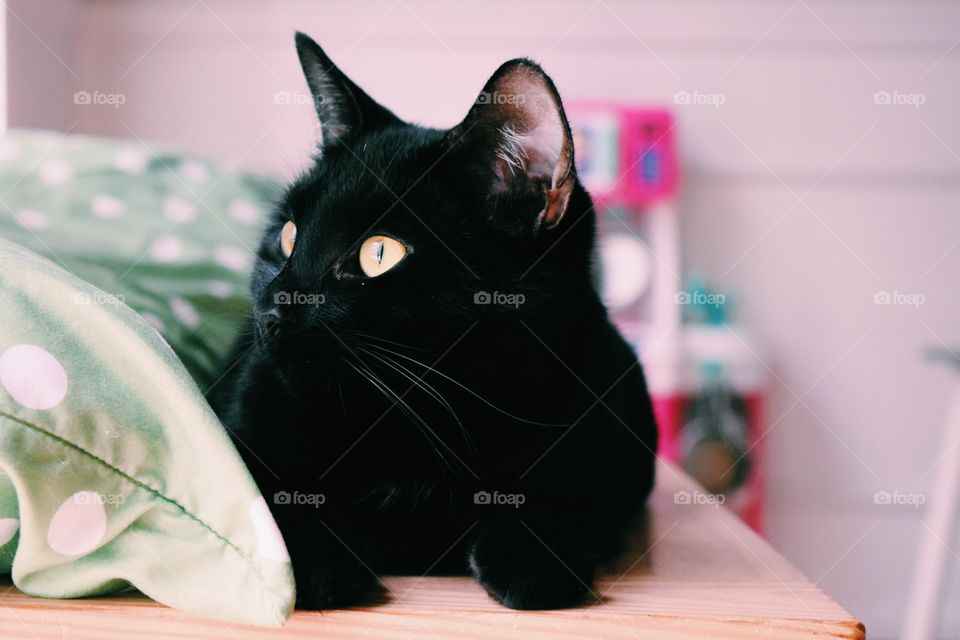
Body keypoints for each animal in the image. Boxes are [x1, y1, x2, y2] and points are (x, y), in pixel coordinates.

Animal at [213, 32, 656, 612]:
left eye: (379, 253)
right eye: (287, 236)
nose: (273, 304)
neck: (416, 418)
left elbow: (566, 505)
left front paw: (531, 559)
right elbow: (265, 503)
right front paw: (317, 569)